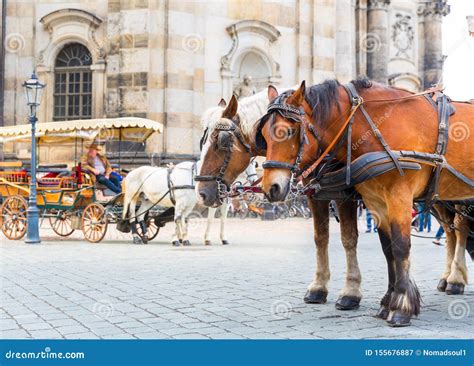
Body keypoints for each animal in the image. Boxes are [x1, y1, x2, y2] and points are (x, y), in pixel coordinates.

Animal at [196, 93, 362, 308]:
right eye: (203, 141)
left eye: (223, 140)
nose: (201, 193)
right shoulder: (316, 195)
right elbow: (321, 238)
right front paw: (318, 287)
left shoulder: (344, 195)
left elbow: (349, 239)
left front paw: (351, 292)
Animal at [260, 80, 474, 326]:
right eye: (263, 134)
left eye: (288, 131)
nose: (271, 187)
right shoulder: (375, 201)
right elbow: (387, 250)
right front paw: (387, 301)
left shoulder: (398, 197)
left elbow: (400, 247)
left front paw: (401, 306)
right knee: (451, 233)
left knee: (460, 230)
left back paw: (455, 280)